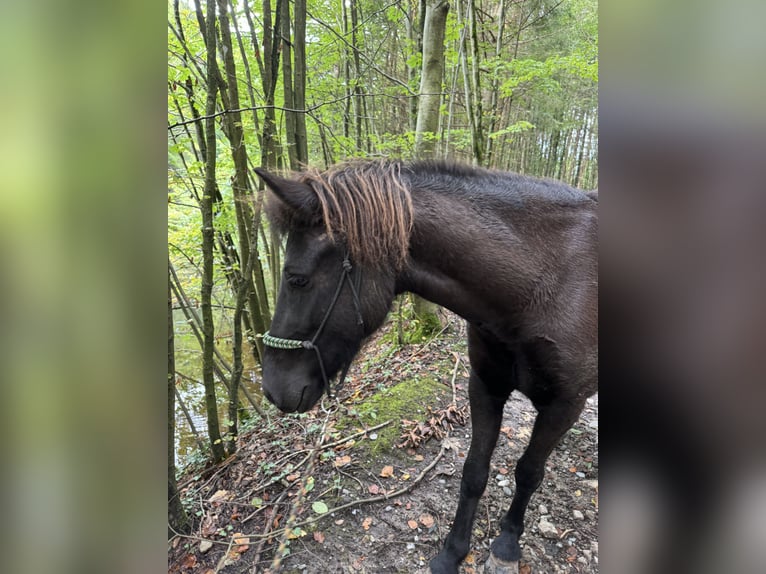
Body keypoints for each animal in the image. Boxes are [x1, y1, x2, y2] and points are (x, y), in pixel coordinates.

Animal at [255, 159, 596, 574]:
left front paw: (507, 542)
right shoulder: (485, 386)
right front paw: (453, 551)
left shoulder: (565, 405)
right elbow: (474, 472)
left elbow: (529, 472)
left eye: (296, 279)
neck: (545, 286)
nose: (273, 388)